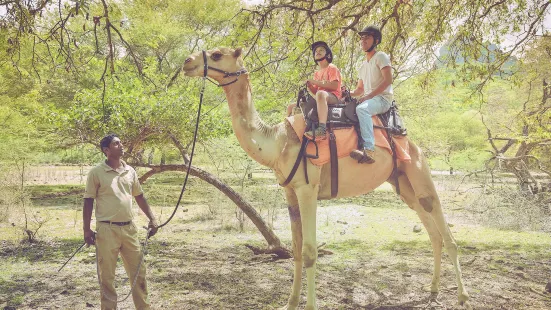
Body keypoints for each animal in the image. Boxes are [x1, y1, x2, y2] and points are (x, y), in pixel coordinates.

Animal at [183, 47, 472, 308]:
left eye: (218, 54)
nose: (187, 61)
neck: (278, 142)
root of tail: (412, 142)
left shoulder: (307, 188)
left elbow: (311, 252)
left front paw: (309, 305)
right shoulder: (290, 191)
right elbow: (297, 250)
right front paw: (290, 303)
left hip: (419, 170)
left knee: (445, 231)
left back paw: (463, 297)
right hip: (402, 183)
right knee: (432, 232)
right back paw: (433, 292)